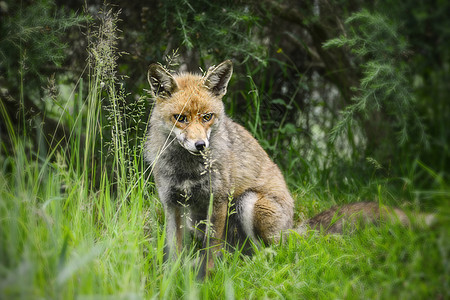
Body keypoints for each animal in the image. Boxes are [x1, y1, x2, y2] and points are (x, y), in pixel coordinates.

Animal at [145, 59, 428, 278]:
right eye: (180, 118)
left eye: (207, 117)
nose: (201, 145)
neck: (187, 170)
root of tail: (293, 226)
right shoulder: (172, 203)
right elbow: (174, 251)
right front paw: (171, 279)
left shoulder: (219, 199)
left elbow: (212, 250)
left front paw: (207, 278)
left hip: (249, 203)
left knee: (275, 252)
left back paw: (255, 266)